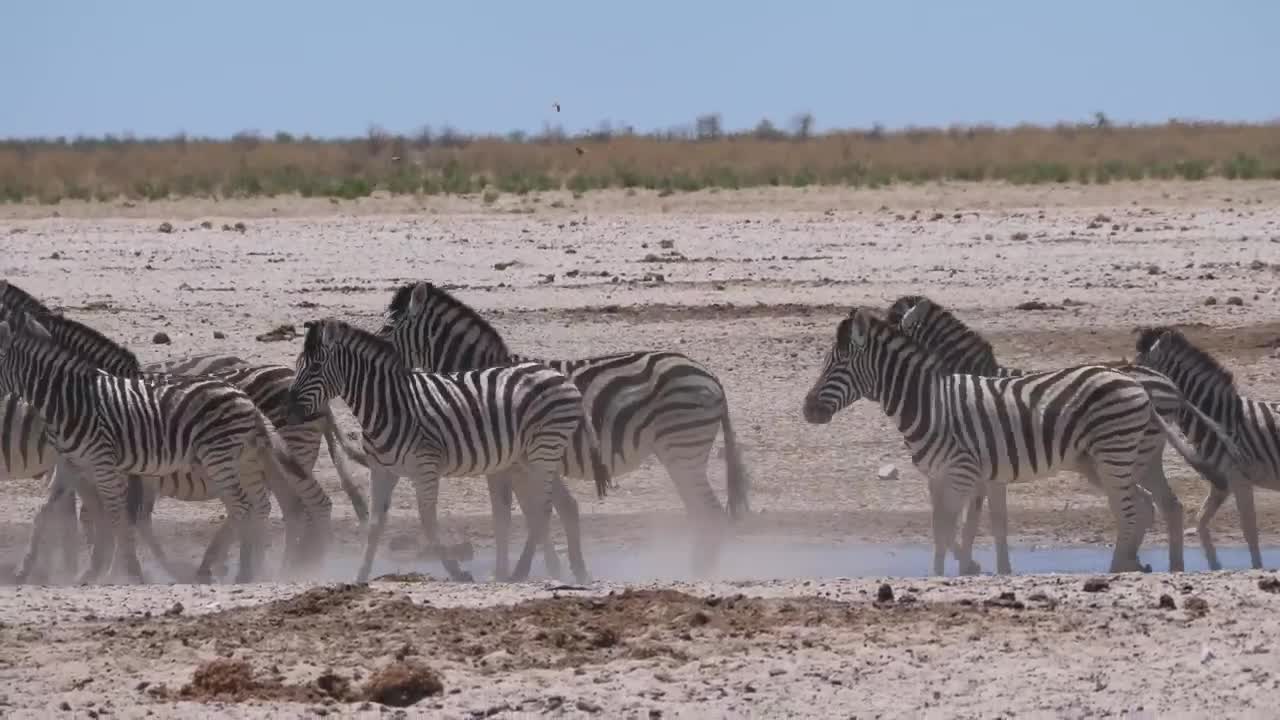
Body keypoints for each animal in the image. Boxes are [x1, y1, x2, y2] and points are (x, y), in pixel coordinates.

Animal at [285, 316, 604, 579]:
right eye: (298, 364)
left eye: (315, 367)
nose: (288, 410)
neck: (389, 406)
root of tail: (561, 378)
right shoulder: (382, 470)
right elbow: (375, 525)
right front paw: (360, 577)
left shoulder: (425, 467)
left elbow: (427, 521)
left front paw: (458, 572)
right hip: (530, 456)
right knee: (564, 504)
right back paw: (577, 571)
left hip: (543, 448)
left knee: (544, 508)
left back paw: (529, 572)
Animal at [371, 280, 747, 576]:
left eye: (387, 330)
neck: (479, 379)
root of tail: (710, 376)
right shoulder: (521, 464)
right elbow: (540, 512)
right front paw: (553, 568)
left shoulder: (506, 464)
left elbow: (509, 517)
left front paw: (508, 572)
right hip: (679, 454)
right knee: (701, 515)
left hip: (682, 450)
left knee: (710, 515)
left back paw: (701, 573)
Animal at [880, 292, 1239, 571]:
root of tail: (1167, 384)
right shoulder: (990, 470)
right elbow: (989, 522)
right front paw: (985, 565)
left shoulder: (983, 469)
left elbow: (977, 522)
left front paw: (974, 564)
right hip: (1142, 456)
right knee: (1165, 505)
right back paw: (1166, 565)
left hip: (1129, 455)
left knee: (1144, 505)